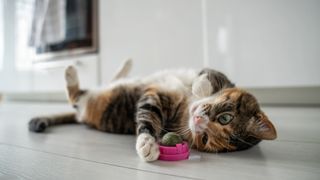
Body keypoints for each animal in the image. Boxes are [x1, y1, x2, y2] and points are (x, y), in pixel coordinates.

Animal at [28, 60, 276, 162]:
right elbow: (211, 74)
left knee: (75, 96)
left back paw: (71, 74)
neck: (187, 104)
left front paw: (147, 144)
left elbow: (147, 117)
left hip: (90, 102)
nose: (198, 121)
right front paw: (200, 85)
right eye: (225, 117)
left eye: (205, 139)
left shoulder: (157, 101)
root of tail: (81, 118)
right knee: (108, 81)